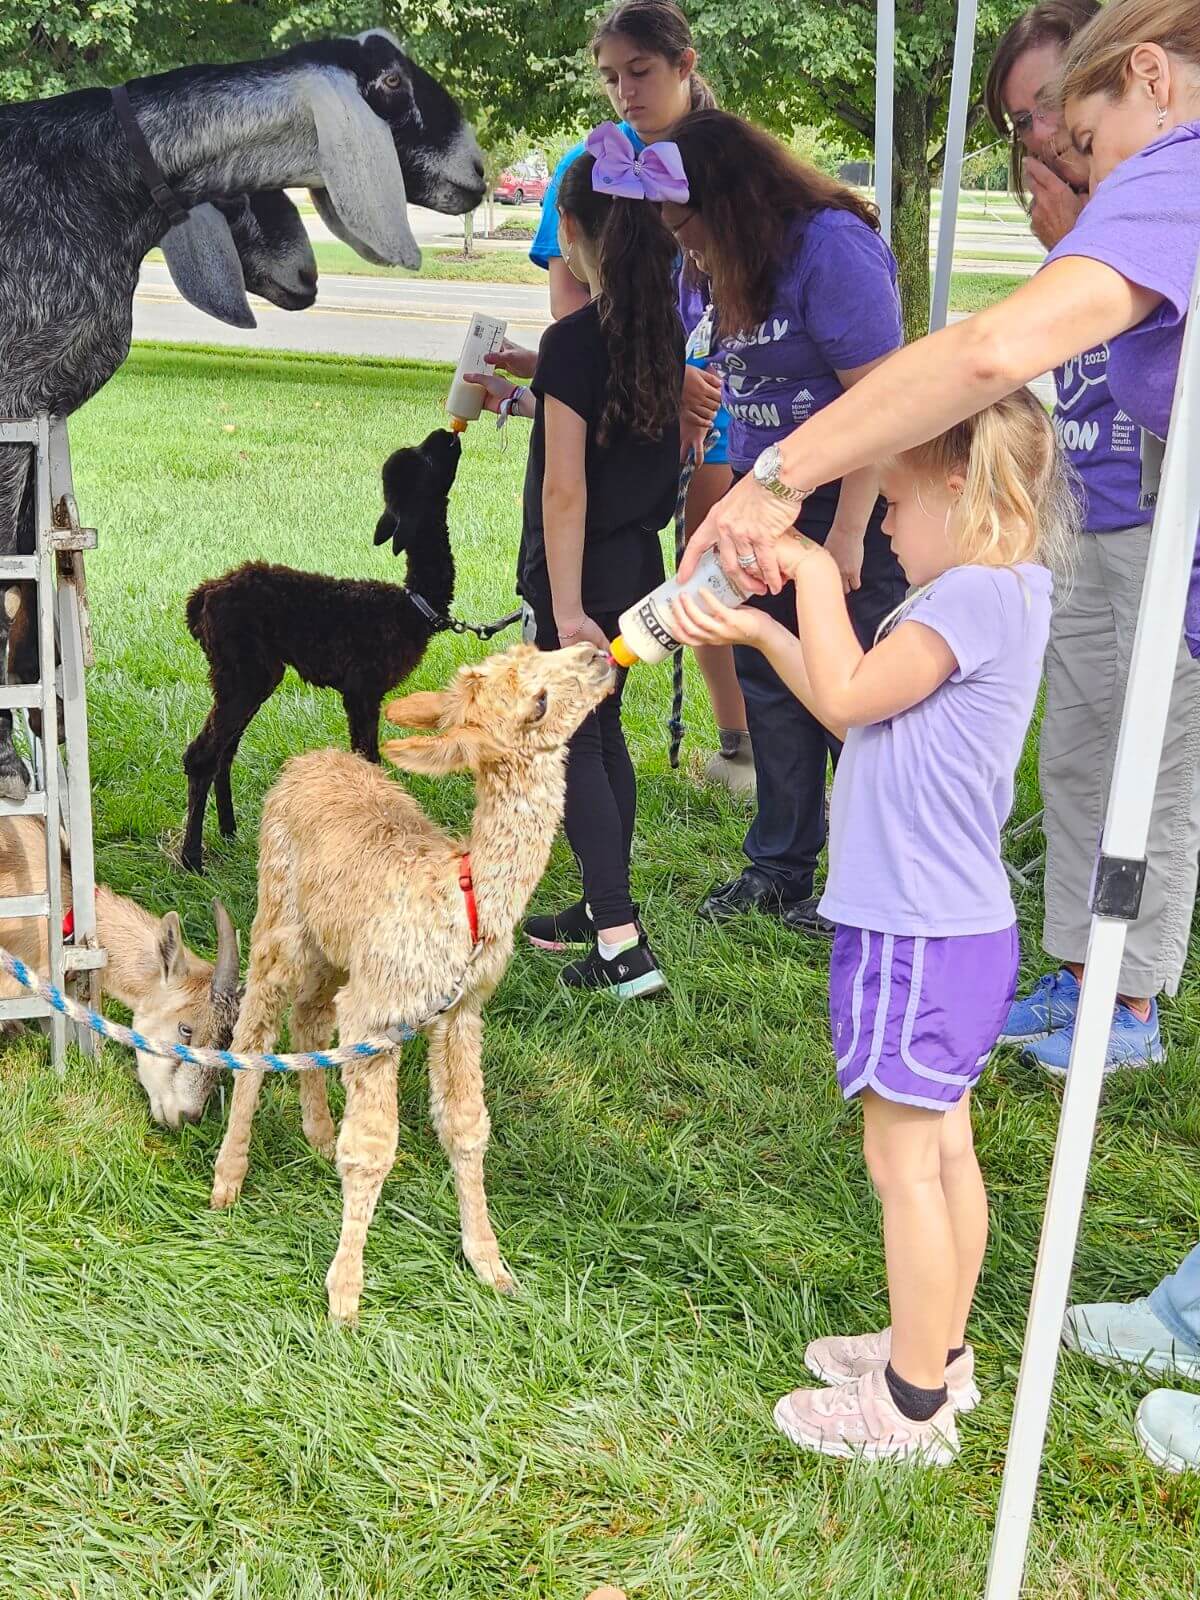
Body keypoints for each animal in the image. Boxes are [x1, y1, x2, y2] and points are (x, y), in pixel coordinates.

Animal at [209, 640, 614, 1324]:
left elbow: (467, 1128)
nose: (597, 654)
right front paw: (345, 1292)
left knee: (310, 1018)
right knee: (254, 1036)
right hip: (280, 919)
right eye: (535, 703)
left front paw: (490, 1264)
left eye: (536, 648)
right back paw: (228, 1178)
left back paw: (317, 1134)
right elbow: (374, 1146)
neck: (462, 900)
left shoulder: (458, 1012)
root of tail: (309, 758)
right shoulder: (379, 1013)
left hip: (336, 950)